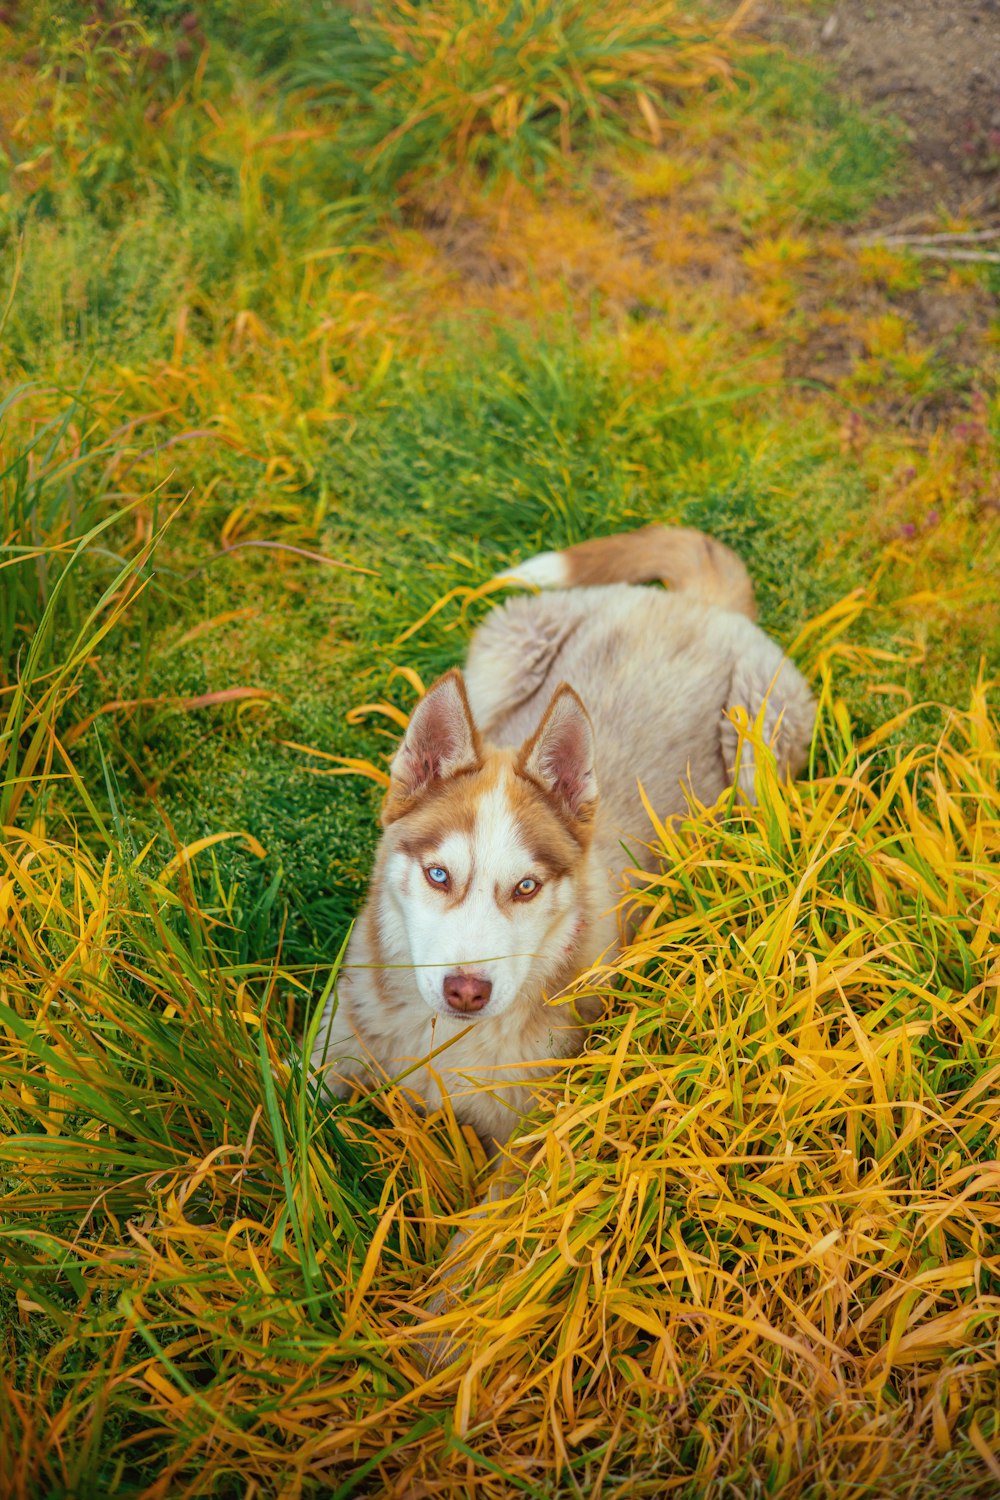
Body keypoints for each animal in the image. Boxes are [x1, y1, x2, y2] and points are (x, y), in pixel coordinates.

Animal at [313, 528, 821, 1146]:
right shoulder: (333, 1045)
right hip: (502, 651)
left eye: (527, 887)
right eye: (438, 875)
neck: (442, 1042)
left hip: (759, 746)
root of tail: (695, 606)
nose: (466, 991)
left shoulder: (533, 1135)